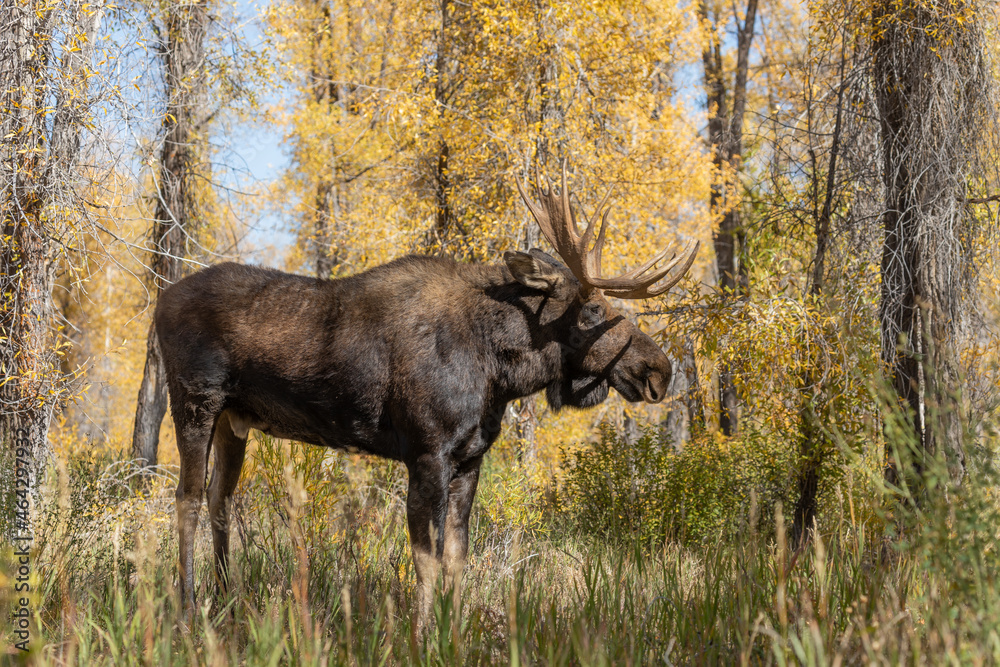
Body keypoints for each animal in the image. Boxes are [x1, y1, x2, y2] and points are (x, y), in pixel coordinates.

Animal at [156, 162, 699, 628]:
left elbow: (457, 559)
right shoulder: (426, 453)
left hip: (235, 420)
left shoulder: (469, 459)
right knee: (186, 499)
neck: (497, 372)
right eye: (591, 311)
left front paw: (453, 631)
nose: (659, 370)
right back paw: (187, 609)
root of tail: (161, 301)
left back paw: (227, 600)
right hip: (195, 403)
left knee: (220, 498)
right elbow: (426, 560)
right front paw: (421, 633)